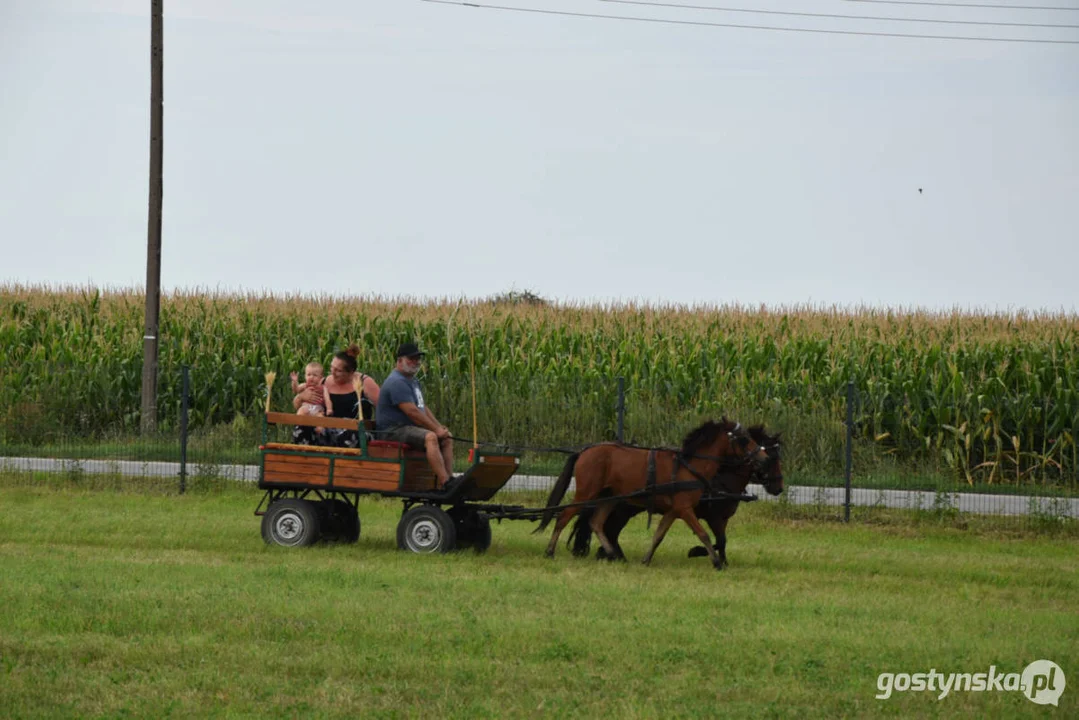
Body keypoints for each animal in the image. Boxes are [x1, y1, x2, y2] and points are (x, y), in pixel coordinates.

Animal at [533, 418, 768, 569]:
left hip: (608, 497)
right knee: (564, 516)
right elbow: (703, 534)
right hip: (586, 493)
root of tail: (584, 451)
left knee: (596, 523)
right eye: (744, 439)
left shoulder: (674, 510)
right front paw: (717, 562)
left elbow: (659, 534)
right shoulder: (685, 509)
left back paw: (612, 554)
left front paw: (646, 559)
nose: (763, 458)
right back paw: (550, 551)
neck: (689, 465)